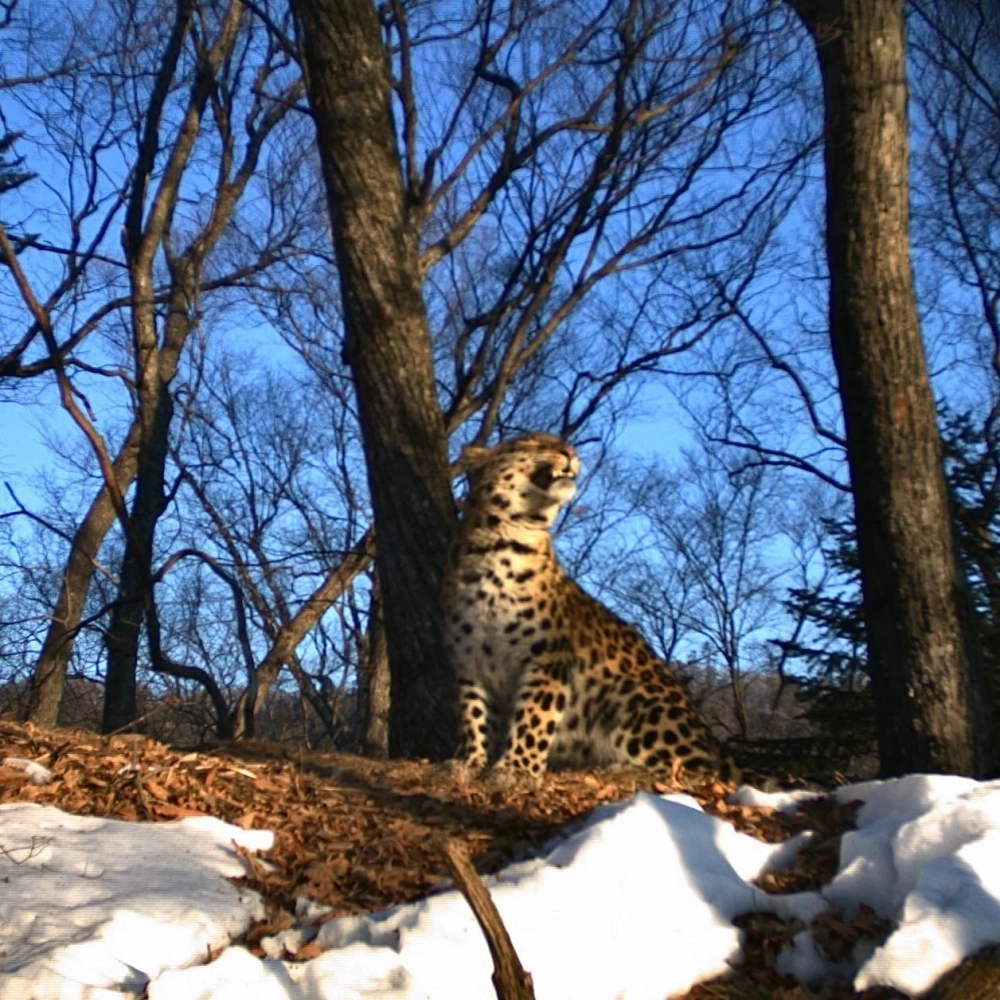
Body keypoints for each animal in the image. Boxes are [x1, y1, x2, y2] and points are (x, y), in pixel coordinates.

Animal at [442, 434, 740, 784]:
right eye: (530, 442)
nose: (570, 450)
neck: (500, 546)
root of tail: (714, 744)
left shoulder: (548, 659)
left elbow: (534, 716)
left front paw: (516, 769)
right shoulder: (469, 661)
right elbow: (473, 714)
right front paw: (470, 760)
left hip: (637, 703)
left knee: (698, 769)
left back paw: (624, 767)